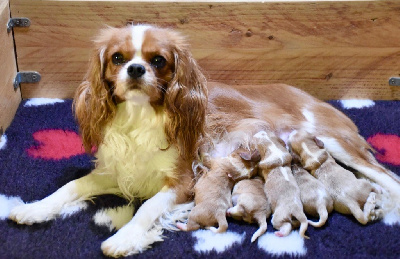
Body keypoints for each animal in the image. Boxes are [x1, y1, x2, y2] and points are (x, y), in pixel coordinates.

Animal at [7, 24, 400, 258]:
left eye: (158, 60)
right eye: (118, 58)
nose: (136, 69)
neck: (139, 118)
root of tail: (308, 95)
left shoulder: (184, 183)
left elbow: (147, 209)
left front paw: (124, 238)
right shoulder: (117, 172)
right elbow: (71, 186)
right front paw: (34, 208)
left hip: (334, 141)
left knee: (387, 178)